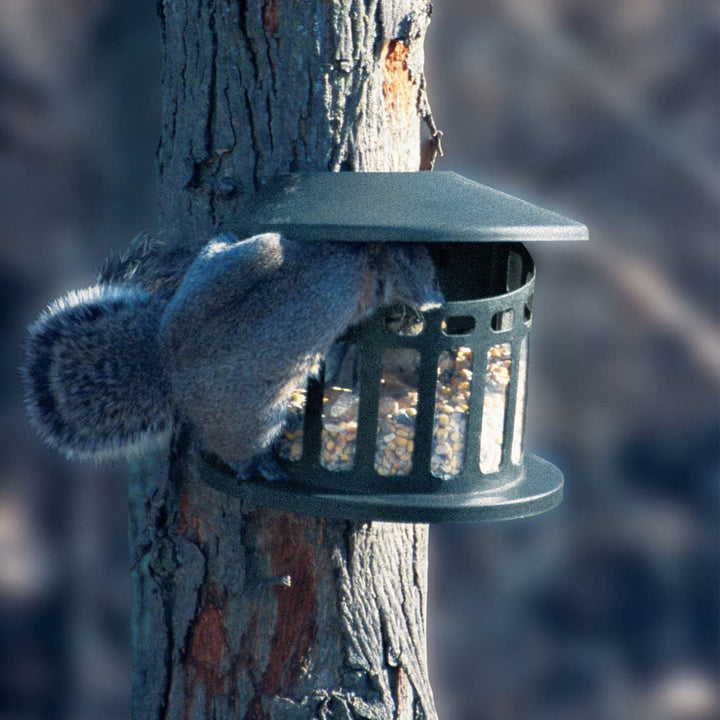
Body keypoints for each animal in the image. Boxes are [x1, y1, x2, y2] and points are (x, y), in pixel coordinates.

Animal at [23, 232, 443, 478]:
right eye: (426, 271)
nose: (438, 297)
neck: (361, 258)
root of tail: (168, 371)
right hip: (251, 418)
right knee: (237, 449)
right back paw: (259, 466)